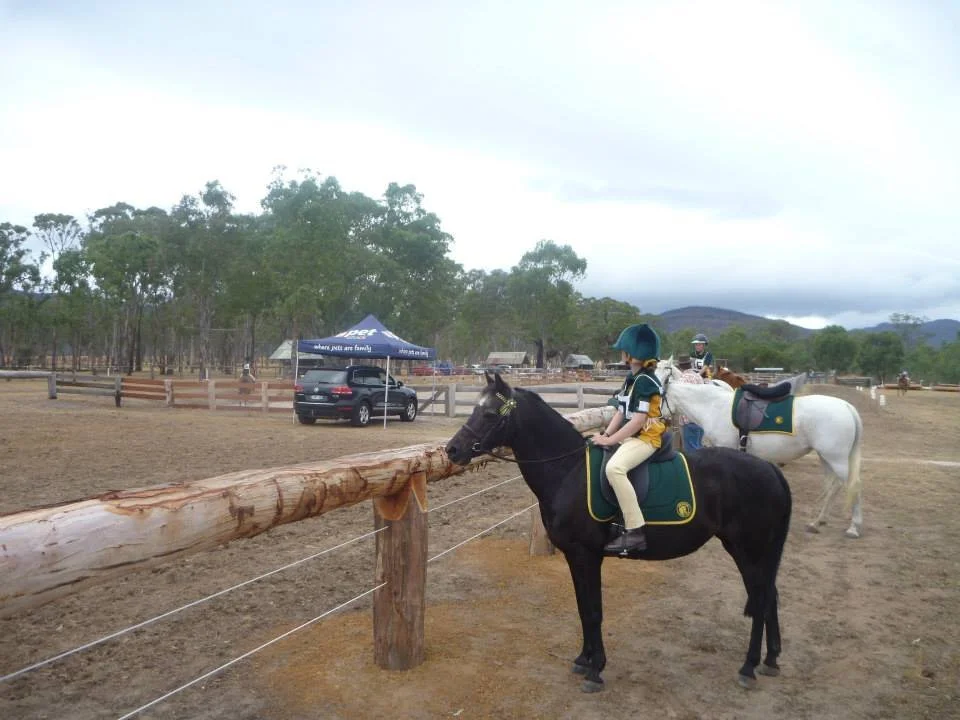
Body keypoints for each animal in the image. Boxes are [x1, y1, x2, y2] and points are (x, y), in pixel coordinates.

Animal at [445, 373, 792, 692]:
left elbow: (594, 611)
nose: (452, 450)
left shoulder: (588, 555)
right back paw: (771, 659)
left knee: (761, 598)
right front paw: (583, 659)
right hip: (751, 550)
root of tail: (769, 469)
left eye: (490, 414)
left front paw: (596, 670)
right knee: (768, 595)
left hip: (748, 549)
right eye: (475, 409)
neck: (568, 471)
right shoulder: (574, 557)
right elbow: (583, 608)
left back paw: (748, 667)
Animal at [656, 359, 864, 538]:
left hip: (836, 459)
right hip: (826, 458)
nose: (656, 419)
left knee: (853, 486)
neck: (713, 406)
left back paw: (853, 528)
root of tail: (846, 407)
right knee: (834, 487)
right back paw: (817, 522)